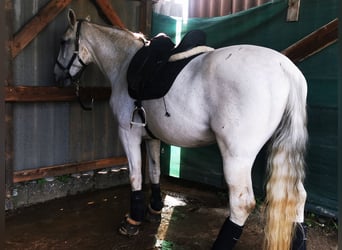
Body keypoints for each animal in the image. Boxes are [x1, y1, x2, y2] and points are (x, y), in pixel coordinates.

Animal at [54, 9, 308, 250]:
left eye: (63, 41)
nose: (57, 76)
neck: (125, 63)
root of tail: (286, 69)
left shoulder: (128, 133)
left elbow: (136, 176)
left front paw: (133, 220)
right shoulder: (152, 137)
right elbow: (154, 172)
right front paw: (155, 208)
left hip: (236, 157)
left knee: (241, 204)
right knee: (298, 197)